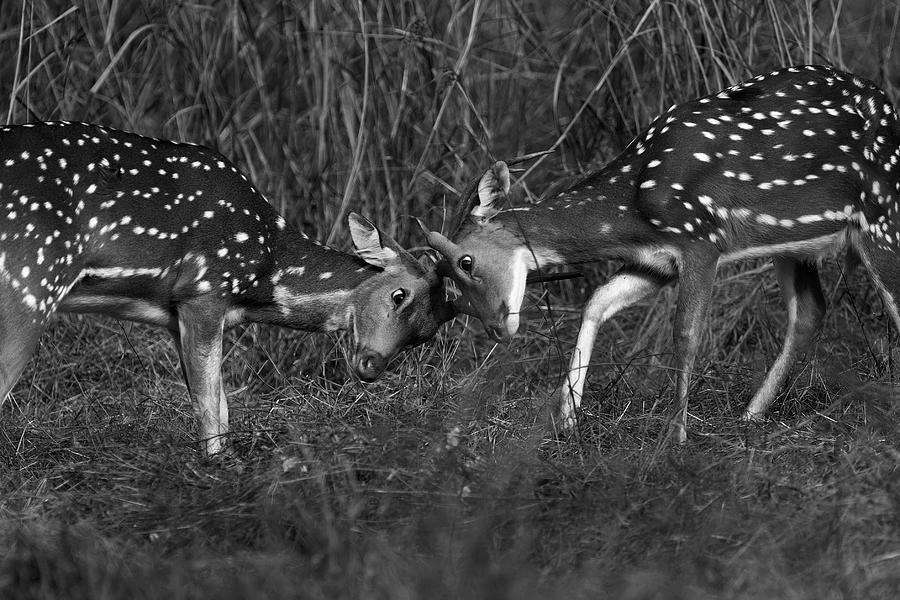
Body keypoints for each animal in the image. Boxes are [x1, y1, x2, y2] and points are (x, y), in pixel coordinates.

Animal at [0, 120, 454, 454]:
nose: (371, 366)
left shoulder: (177, 315)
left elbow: (218, 405)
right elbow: (211, 410)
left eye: (425, 334)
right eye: (398, 294)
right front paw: (215, 468)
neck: (262, 274)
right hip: (30, 278)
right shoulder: (204, 290)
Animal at [426, 64, 900, 440]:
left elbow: (686, 334)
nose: (495, 329)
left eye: (466, 261)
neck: (633, 200)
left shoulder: (700, 239)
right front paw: (568, 418)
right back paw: (751, 415)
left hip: (881, 219)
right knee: (810, 311)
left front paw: (675, 437)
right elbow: (596, 301)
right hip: (795, 244)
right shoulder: (656, 260)